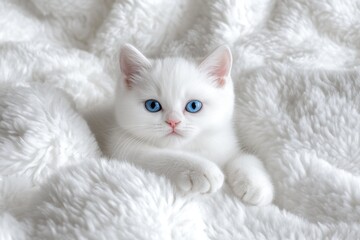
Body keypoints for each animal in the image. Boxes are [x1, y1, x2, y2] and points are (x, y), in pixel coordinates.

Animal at [87, 44, 272, 204]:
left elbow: (245, 157)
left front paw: (257, 185)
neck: (189, 147)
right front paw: (201, 170)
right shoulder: (123, 151)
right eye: (152, 105)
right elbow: (158, 156)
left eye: (193, 106)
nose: (173, 121)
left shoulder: (225, 147)